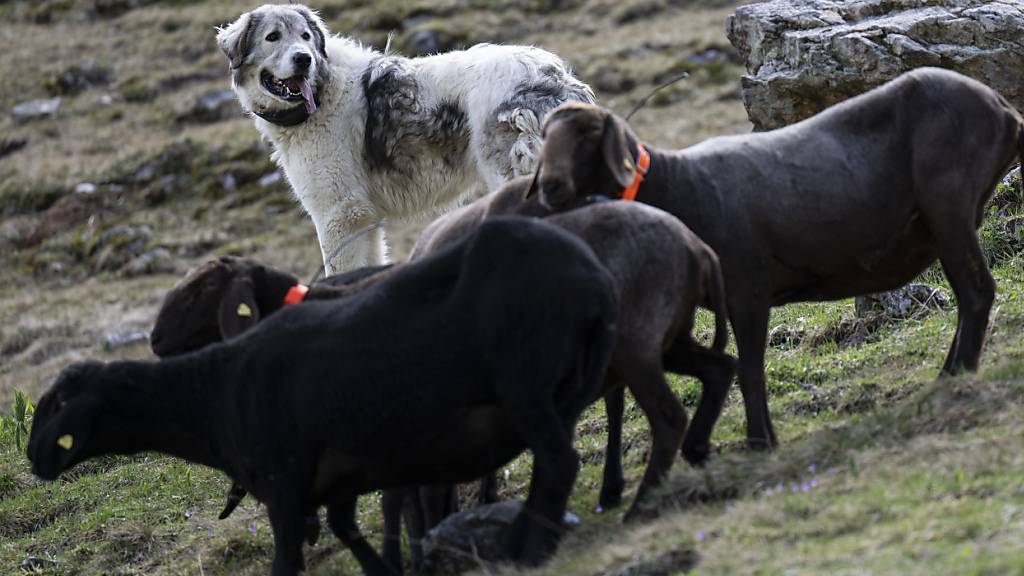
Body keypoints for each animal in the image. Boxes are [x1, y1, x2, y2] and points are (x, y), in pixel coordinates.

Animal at [29, 216, 614, 573]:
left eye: (204, 287)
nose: (152, 339)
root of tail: (592, 277)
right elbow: (360, 516)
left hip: (525, 386)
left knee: (557, 461)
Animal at [220, 3, 598, 272]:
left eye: (305, 37)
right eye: (272, 37)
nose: (303, 59)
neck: (324, 89)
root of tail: (552, 75)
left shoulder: (339, 215)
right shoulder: (364, 219)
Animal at [532, 68, 1019, 448]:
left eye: (589, 134)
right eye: (546, 136)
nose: (549, 188)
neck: (675, 185)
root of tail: (1004, 109)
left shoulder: (747, 289)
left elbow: (750, 369)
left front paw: (759, 442)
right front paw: (760, 437)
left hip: (949, 203)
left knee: (977, 292)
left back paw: (962, 375)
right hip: (947, 220)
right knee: (967, 296)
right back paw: (948, 375)